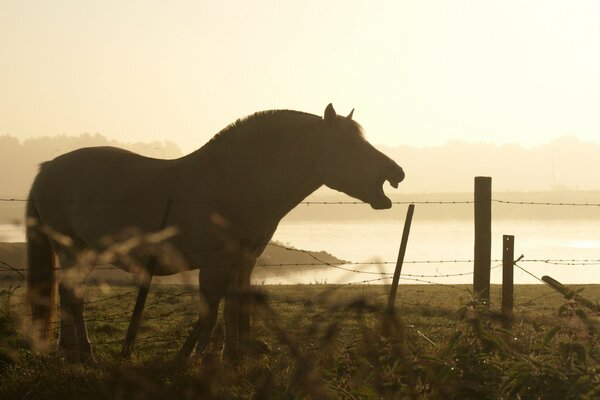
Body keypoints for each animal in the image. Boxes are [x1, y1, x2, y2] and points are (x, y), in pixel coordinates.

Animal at [25, 103, 406, 362]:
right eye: (350, 146)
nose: (396, 172)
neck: (235, 183)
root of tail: (47, 169)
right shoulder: (214, 265)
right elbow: (209, 312)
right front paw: (194, 358)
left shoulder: (244, 263)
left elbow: (234, 308)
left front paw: (233, 357)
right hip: (75, 250)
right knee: (74, 294)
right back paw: (86, 353)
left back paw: (70, 350)